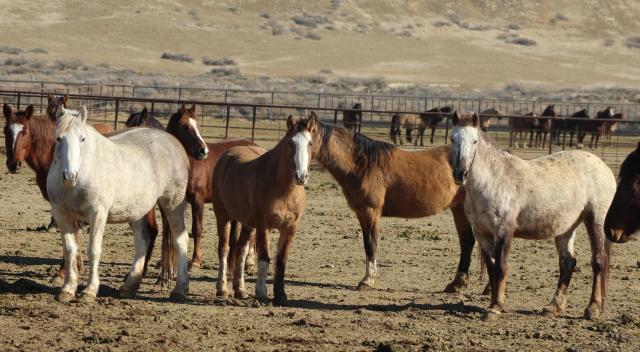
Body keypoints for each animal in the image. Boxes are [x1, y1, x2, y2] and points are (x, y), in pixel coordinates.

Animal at [47, 106, 190, 304]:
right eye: (59, 138)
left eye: (82, 138)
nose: (70, 176)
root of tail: (174, 143)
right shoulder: (62, 215)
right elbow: (70, 250)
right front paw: (67, 289)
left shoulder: (98, 214)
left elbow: (93, 250)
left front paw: (89, 291)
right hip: (137, 211)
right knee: (143, 240)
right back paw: (129, 286)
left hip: (172, 205)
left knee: (180, 240)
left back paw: (179, 290)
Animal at [212, 114, 316, 304]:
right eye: (290, 143)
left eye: (310, 143)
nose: (301, 176)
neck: (284, 189)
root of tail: (227, 156)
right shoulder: (263, 226)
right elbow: (264, 258)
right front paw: (261, 292)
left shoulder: (290, 228)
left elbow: (281, 260)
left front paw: (281, 294)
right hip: (223, 216)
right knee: (224, 248)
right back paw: (222, 289)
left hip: (248, 224)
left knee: (241, 249)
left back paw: (240, 290)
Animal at [448, 111, 616, 320]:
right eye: (452, 139)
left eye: (475, 141)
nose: (460, 174)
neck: (493, 180)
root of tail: (604, 167)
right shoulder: (482, 234)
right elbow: (492, 267)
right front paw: (493, 303)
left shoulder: (503, 231)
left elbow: (501, 267)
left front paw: (495, 308)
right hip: (567, 227)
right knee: (568, 262)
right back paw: (553, 306)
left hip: (595, 220)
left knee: (598, 261)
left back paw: (592, 308)